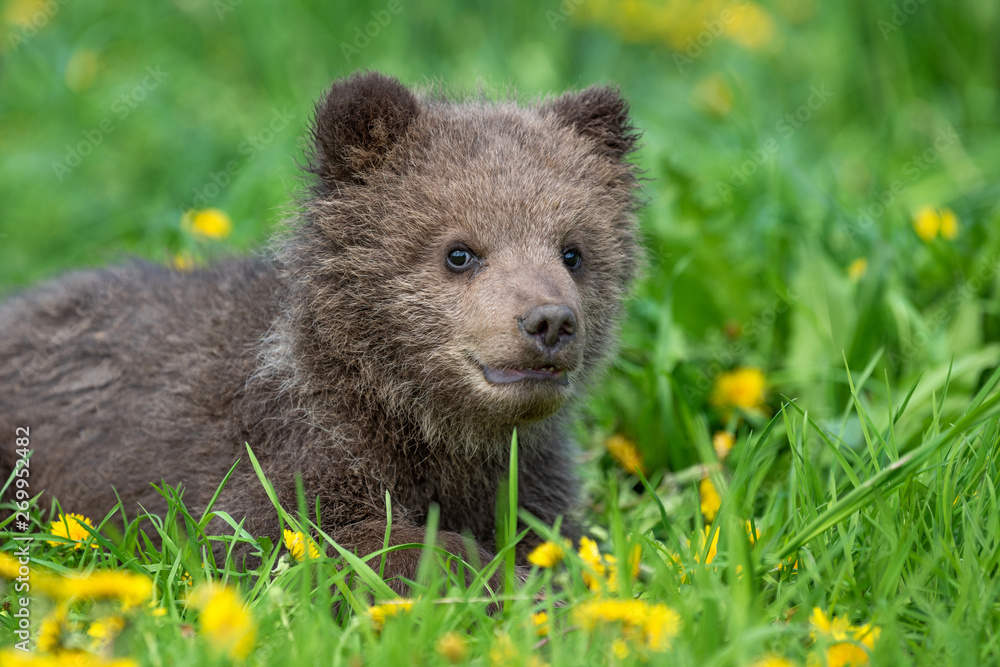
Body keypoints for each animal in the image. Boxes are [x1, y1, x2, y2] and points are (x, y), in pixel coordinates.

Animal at [0, 71, 641, 594]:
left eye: (573, 252)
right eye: (459, 252)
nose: (549, 320)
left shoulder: (529, 477)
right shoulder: (279, 458)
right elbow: (302, 539)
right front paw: (488, 574)